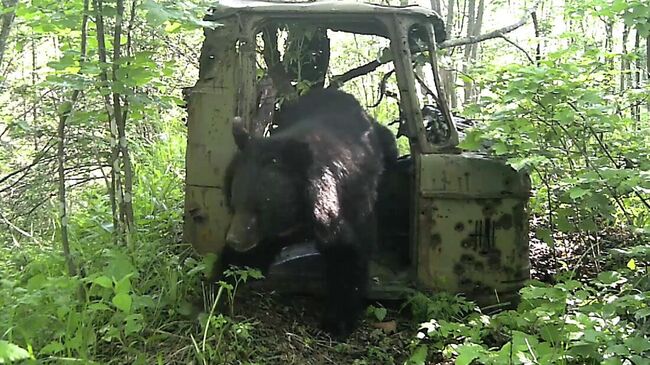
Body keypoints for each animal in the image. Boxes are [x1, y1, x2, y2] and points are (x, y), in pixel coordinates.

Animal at [223, 87, 394, 336]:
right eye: (234, 201)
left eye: (260, 208)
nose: (234, 240)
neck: (299, 214)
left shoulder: (344, 209)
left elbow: (348, 254)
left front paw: (337, 323)